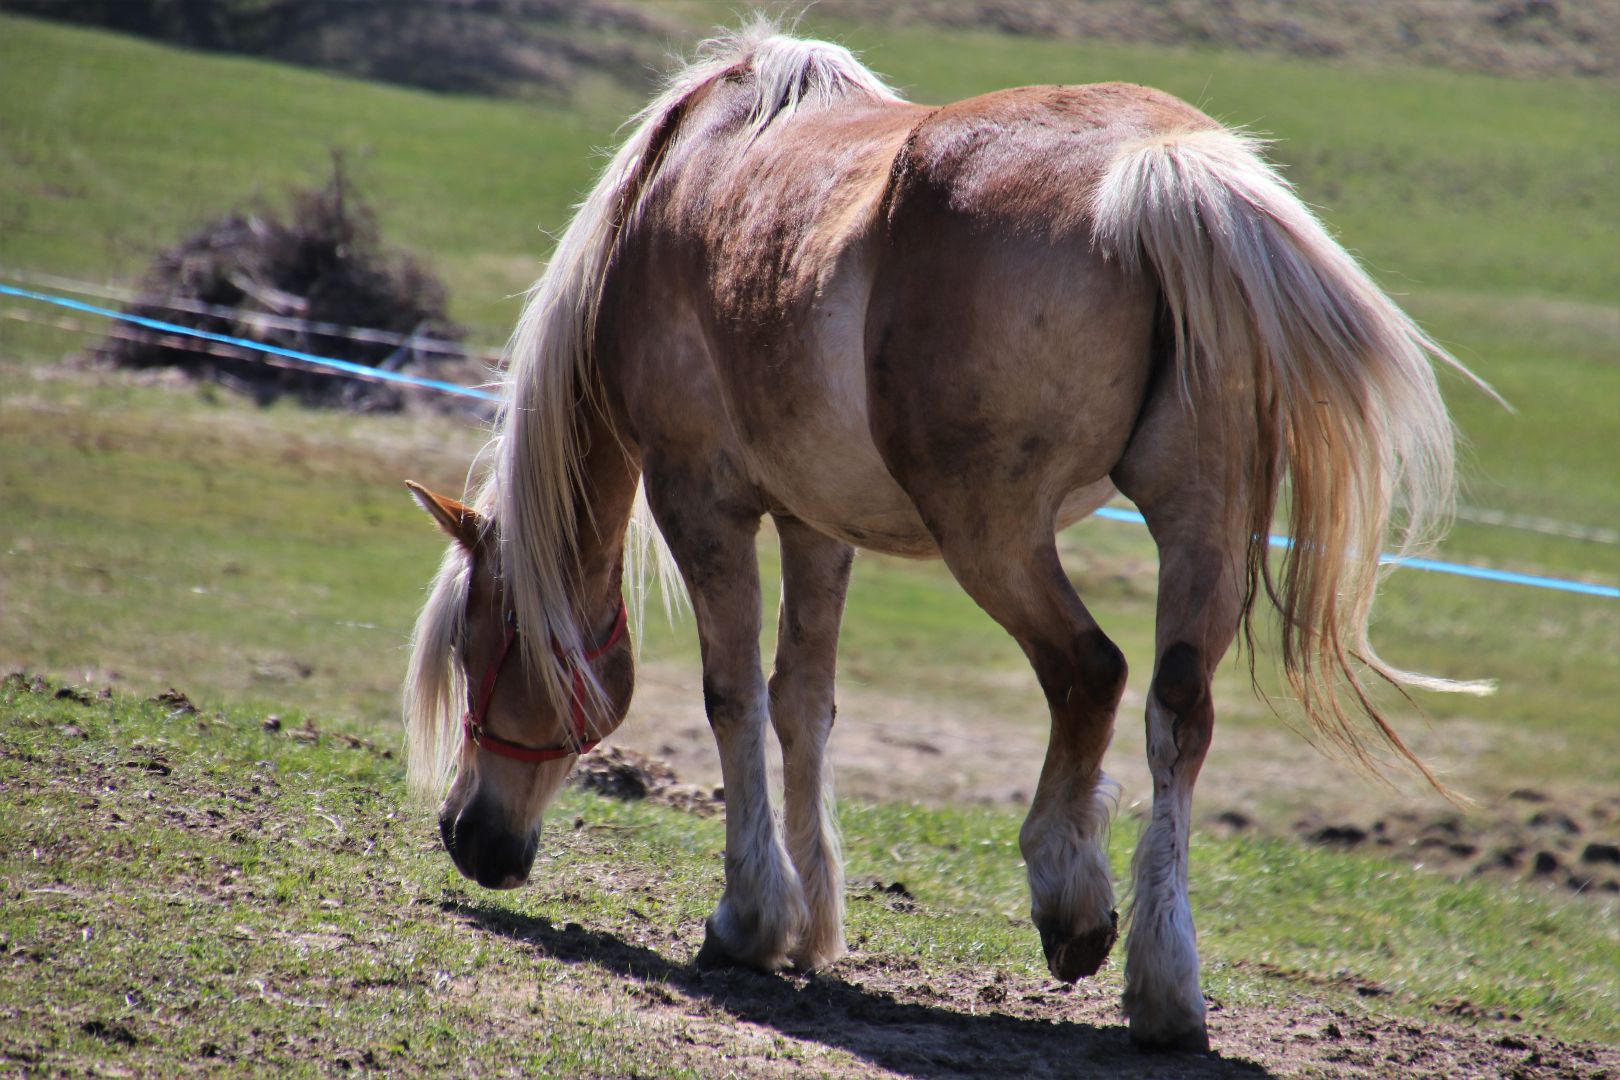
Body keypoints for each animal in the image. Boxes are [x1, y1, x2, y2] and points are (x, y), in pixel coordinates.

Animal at [402, 21, 1490, 1051]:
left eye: (476, 649)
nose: (466, 835)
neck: (672, 196)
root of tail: (1159, 169)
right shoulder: (814, 521)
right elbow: (803, 703)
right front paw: (811, 925)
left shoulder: (702, 500)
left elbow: (732, 696)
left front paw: (750, 920)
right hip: (1199, 527)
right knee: (1178, 710)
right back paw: (1165, 987)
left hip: (993, 536)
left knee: (1089, 673)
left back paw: (1070, 899)